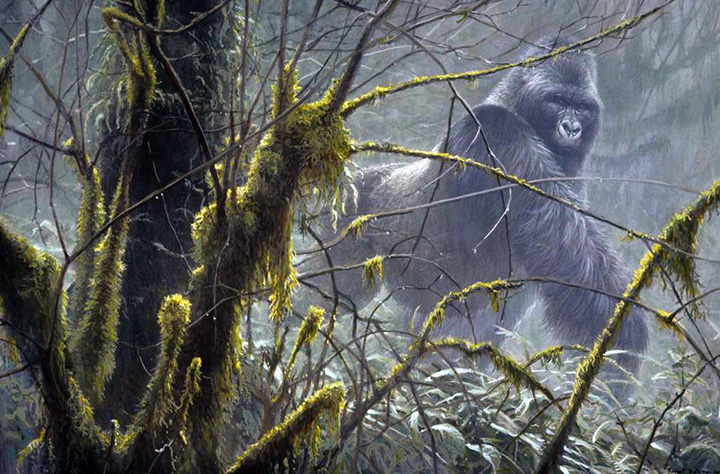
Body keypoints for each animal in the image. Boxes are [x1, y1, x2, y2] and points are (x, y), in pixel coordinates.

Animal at [296, 38, 648, 383]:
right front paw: (624, 340)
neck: (516, 105)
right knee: (326, 298)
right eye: (556, 100)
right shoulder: (500, 133)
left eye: (582, 107)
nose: (572, 128)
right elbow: (569, 253)